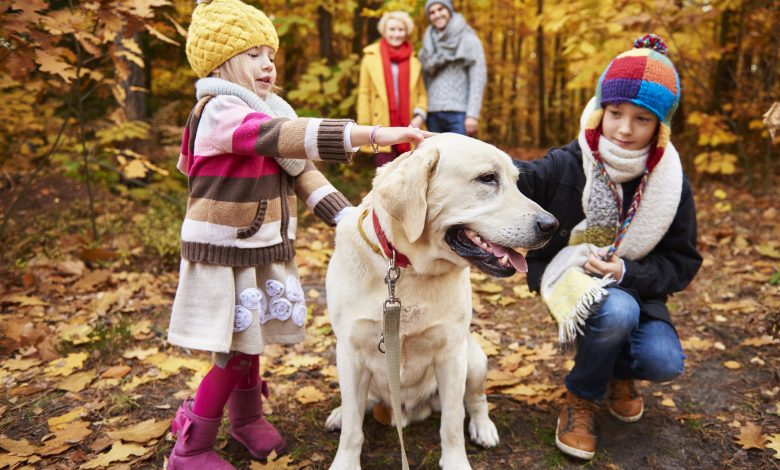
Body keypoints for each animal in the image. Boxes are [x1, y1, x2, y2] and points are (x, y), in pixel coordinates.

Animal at [322, 133, 556, 470]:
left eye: (516, 181)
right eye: (487, 178)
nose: (551, 225)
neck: (408, 269)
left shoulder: (452, 354)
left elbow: (452, 421)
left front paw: (456, 460)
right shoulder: (350, 352)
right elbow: (354, 427)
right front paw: (345, 461)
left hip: (475, 358)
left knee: (475, 400)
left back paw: (483, 427)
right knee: (357, 404)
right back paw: (340, 414)